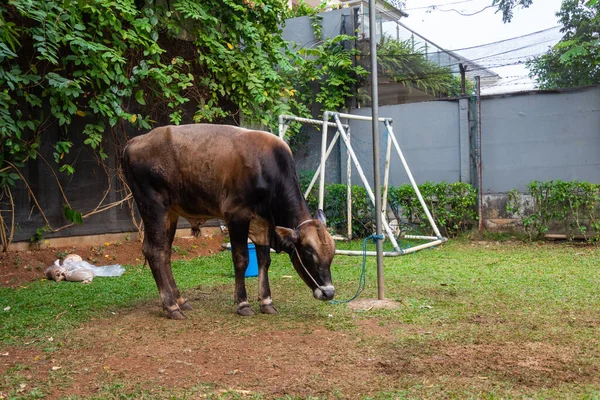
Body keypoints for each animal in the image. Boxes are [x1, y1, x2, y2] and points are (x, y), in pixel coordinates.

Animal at [122, 123, 338, 320]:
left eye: (332, 255)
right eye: (308, 254)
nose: (329, 293)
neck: (266, 168)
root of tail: (133, 143)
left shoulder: (262, 223)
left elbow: (264, 260)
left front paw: (266, 301)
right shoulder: (236, 216)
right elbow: (242, 259)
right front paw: (243, 303)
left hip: (171, 213)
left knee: (165, 252)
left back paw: (180, 300)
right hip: (153, 207)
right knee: (154, 251)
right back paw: (171, 306)